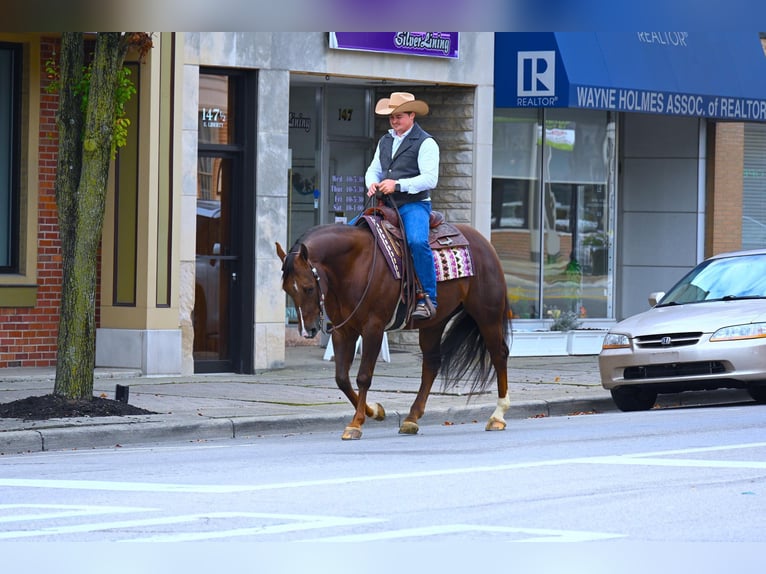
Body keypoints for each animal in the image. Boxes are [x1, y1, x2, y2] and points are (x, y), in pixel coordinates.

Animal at [274, 214, 510, 444]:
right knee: (432, 363)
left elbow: (363, 376)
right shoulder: (344, 331)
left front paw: (356, 424)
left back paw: (497, 416)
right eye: (287, 289)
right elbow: (342, 378)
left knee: (499, 354)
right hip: (435, 323)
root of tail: (483, 243)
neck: (354, 265)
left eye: (308, 288)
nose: (308, 331)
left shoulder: (373, 328)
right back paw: (411, 418)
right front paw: (375, 411)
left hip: (487, 314)